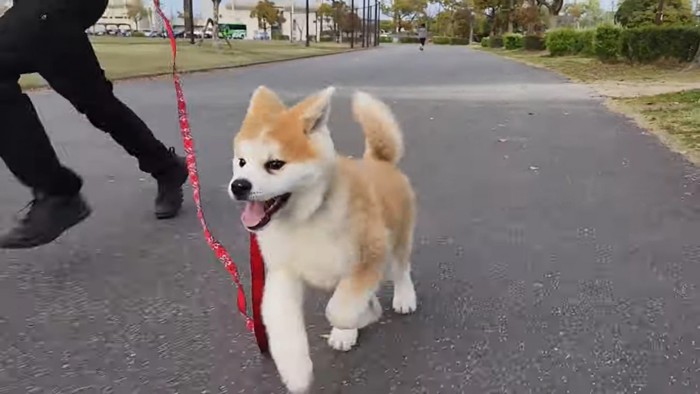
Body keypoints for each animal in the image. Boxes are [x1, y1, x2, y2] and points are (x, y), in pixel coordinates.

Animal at [228, 84, 416, 392]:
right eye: (242, 162)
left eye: (275, 164)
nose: (239, 185)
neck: (306, 219)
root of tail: (379, 161)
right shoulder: (283, 273)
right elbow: (283, 326)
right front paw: (296, 372)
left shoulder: (368, 256)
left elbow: (339, 309)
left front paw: (362, 317)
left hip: (396, 238)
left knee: (401, 269)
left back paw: (404, 296)